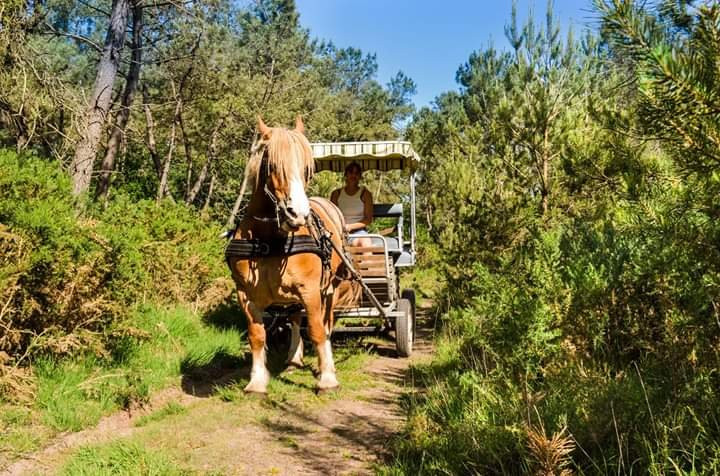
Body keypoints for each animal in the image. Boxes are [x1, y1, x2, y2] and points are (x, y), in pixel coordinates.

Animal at [226, 116, 358, 394]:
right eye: (273, 165)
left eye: (307, 169)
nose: (298, 214)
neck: (269, 240)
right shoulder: (245, 294)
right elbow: (257, 336)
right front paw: (256, 381)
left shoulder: (310, 289)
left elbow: (317, 330)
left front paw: (327, 378)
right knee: (296, 318)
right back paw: (294, 360)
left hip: (330, 286)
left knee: (326, 323)